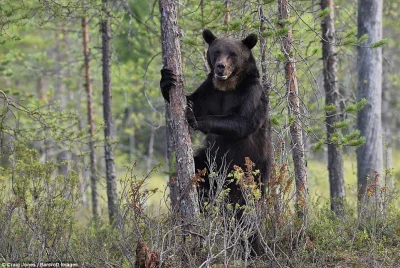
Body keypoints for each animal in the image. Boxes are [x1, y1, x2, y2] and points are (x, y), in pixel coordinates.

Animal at [161, 29, 270, 255]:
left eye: (233, 54)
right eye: (216, 51)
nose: (220, 66)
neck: (228, 86)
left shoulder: (251, 95)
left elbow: (240, 122)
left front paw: (193, 117)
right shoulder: (210, 91)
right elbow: (192, 99)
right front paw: (167, 80)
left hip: (250, 172)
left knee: (246, 210)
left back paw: (252, 246)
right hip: (212, 164)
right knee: (199, 171)